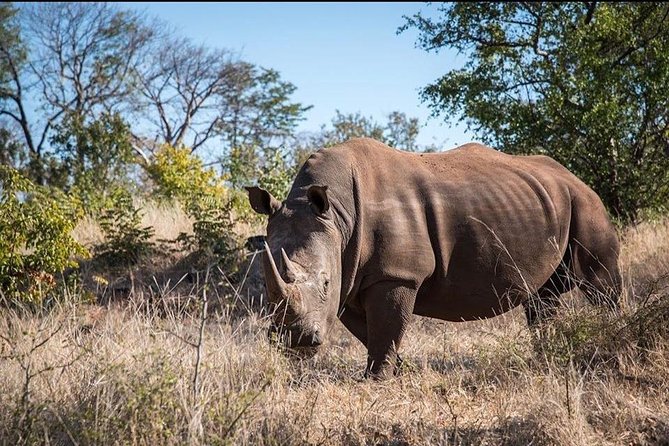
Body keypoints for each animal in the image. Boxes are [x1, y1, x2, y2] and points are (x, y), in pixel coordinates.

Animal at [246, 138, 621, 378]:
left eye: (325, 282)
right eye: (266, 288)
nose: (295, 341)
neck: (337, 216)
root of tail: (576, 177)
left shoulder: (395, 274)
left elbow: (386, 329)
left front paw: (376, 380)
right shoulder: (350, 278)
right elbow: (371, 332)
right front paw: (399, 372)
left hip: (586, 203)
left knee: (600, 284)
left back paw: (615, 343)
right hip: (547, 202)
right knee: (543, 298)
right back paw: (547, 357)